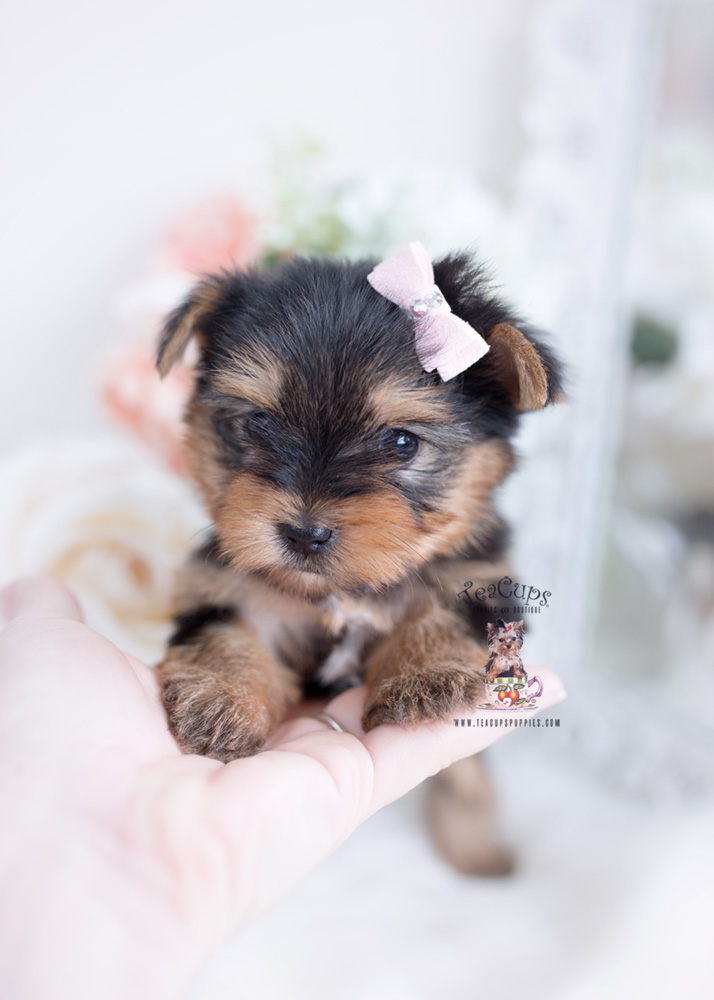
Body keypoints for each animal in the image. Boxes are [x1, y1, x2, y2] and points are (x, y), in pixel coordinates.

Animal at [156, 242, 560, 868]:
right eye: (259, 422)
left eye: (401, 443)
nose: (303, 534)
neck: (342, 589)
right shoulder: (229, 584)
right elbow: (229, 630)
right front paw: (220, 701)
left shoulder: (481, 578)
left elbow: (447, 613)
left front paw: (425, 676)